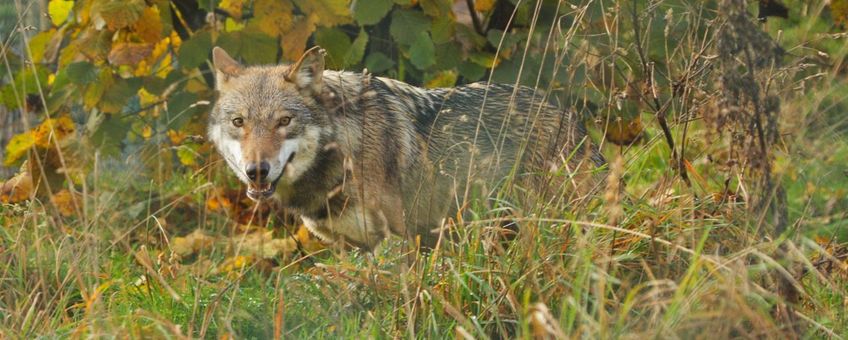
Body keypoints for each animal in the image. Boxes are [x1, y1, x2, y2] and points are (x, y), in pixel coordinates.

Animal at [207, 46, 604, 251]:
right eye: (239, 122)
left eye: (284, 121)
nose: (256, 170)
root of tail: (569, 116)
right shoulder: (348, 248)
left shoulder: (398, 240)